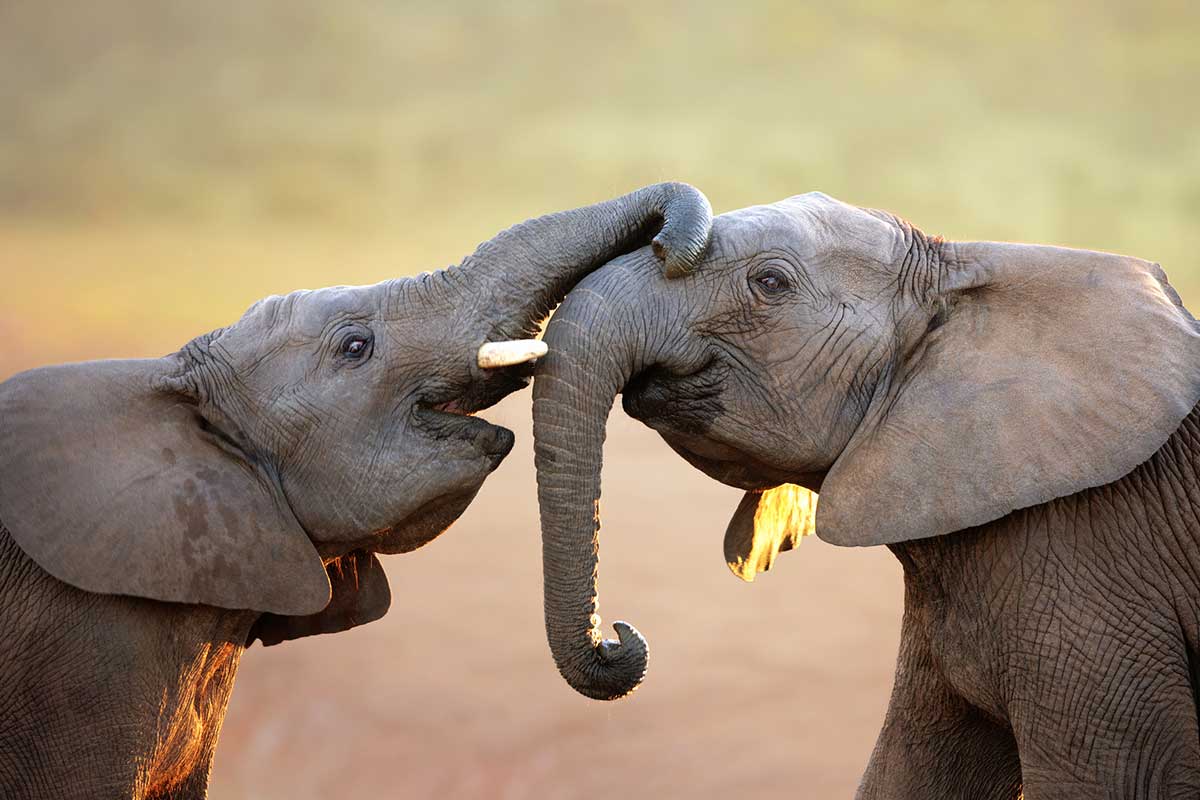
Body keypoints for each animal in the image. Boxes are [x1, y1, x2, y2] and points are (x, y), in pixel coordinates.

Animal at [529, 191, 1200, 799]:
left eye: (770, 282)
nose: (618, 637)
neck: (962, 274)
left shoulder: (1094, 568)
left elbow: (1115, 780)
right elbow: (911, 770)